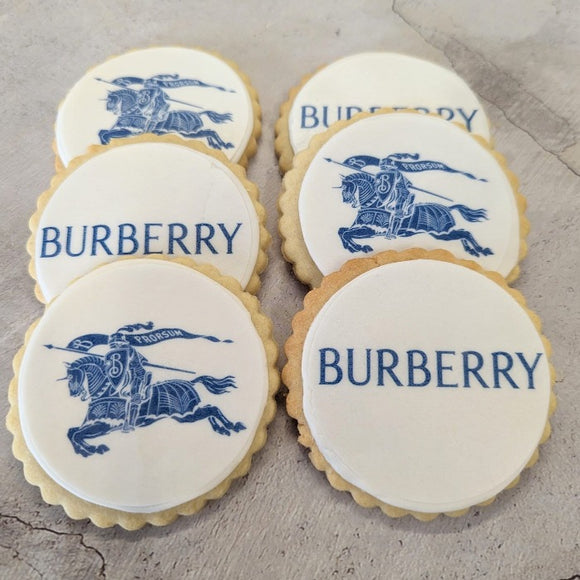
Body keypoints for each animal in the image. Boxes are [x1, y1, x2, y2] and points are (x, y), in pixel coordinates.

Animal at [62, 354, 246, 458]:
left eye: (72, 377)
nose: (73, 393)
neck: (107, 392)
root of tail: (190, 382)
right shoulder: (95, 426)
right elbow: (72, 432)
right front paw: (86, 450)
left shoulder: (104, 425)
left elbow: (76, 434)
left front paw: (91, 449)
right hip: (187, 415)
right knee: (209, 410)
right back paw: (222, 429)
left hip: (185, 415)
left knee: (212, 409)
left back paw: (232, 426)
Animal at [98, 89, 236, 151]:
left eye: (111, 101)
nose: (108, 108)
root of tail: (199, 114)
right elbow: (102, 132)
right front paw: (106, 142)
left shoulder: (128, 132)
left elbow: (106, 133)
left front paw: (106, 142)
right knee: (208, 133)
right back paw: (216, 145)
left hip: (189, 133)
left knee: (211, 132)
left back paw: (223, 145)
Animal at [336, 170, 494, 256]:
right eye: (342, 189)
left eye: (347, 188)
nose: (345, 200)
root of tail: (449, 208)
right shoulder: (361, 228)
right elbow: (342, 231)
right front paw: (352, 247)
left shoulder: (370, 230)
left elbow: (346, 233)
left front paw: (359, 247)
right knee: (463, 233)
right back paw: (472, 250)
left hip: (441, 234)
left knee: (465, 233)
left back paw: (480, 249)